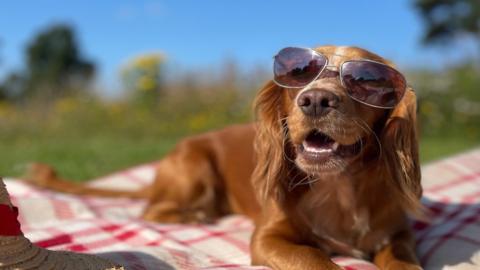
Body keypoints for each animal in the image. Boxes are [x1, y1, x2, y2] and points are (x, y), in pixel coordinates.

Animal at [26, 45, 424, 268]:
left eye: (368, 81)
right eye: (297, 73)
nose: (314, 100)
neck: (338, 188)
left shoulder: (398, 234)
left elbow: (404, 262)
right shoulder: (267, 237)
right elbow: (314, 257)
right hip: (194, 166)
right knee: (153, 210)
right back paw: (196, 214)